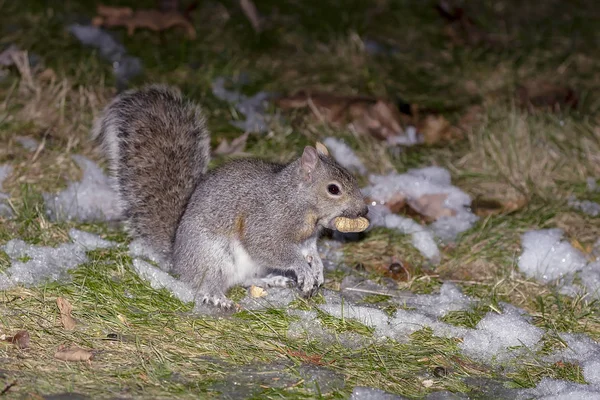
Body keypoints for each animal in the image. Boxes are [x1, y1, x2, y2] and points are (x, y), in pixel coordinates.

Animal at [92, 84, 368, 308]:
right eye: (334, 189)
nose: (364, 210)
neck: (300, 204)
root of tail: (178, 260)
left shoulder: (307, 239)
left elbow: (311, 252)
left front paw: (317, 268)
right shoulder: (266, 221)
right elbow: (271, 247)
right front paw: (302, 267)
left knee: (245, 280)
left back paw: (271, 280)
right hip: (214, 257)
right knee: (208, 283)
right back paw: (217, 297)